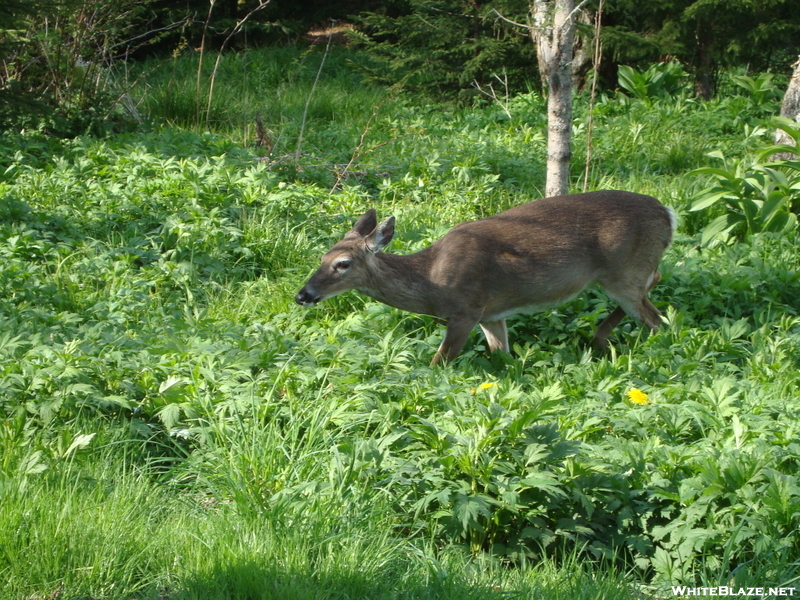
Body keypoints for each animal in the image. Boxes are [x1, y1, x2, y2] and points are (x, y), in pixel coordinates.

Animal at [294, 190, 676, 366]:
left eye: (342, 263)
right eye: (321, 257)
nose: (303, 295)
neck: (431, 282)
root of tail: (668, 213)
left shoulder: (466, 310)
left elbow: (438, 363)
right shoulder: (491, 315)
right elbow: (502, 355)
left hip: (624, 271)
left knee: (657, 320)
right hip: (626, 274)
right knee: (655, 282)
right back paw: (599, 338)